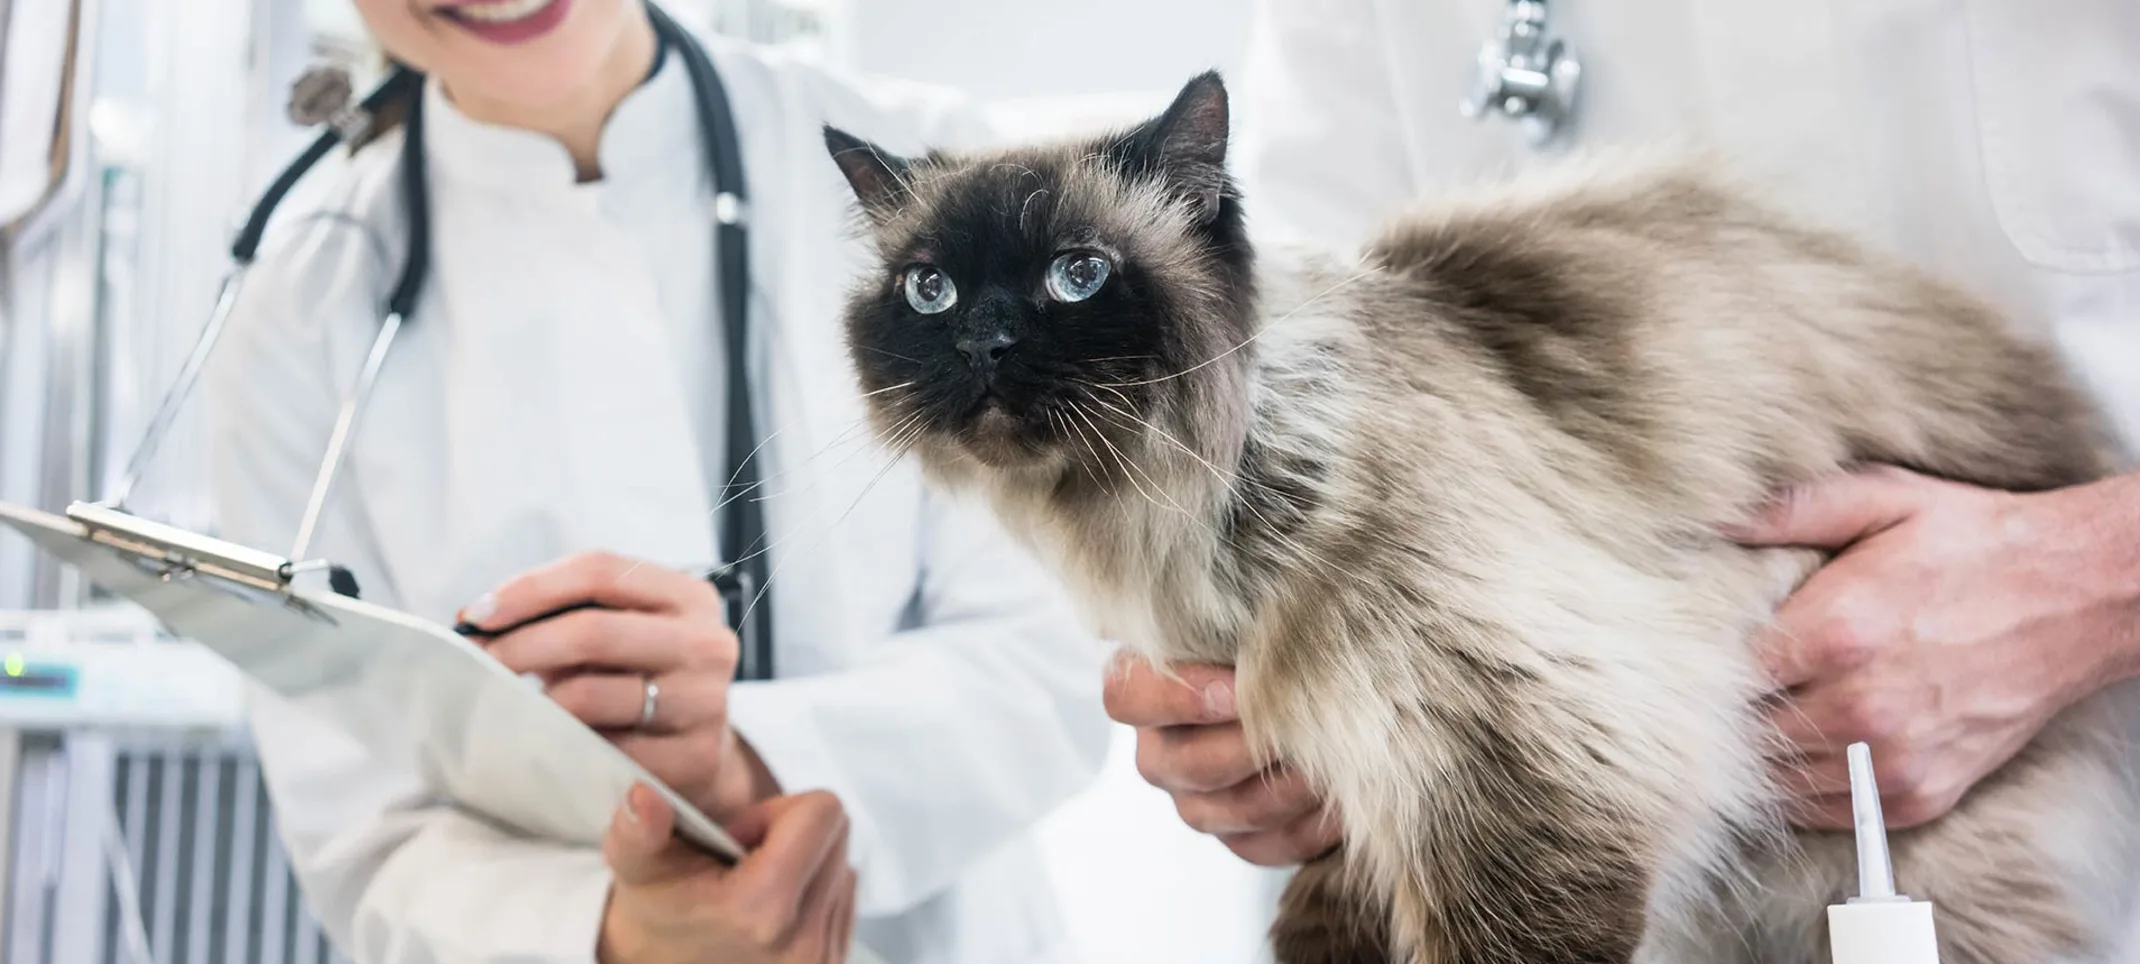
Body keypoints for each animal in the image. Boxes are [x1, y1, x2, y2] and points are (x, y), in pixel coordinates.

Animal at [813, 69, 2140, 964]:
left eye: (1075, 275)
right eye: (930, 291)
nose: (986, 344)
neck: (1187, 516)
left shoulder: (1510, 756)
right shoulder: (1337, 775)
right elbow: (1329, 900)